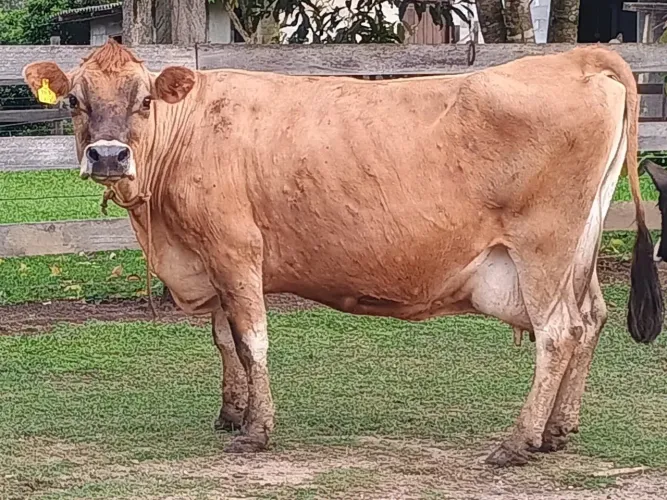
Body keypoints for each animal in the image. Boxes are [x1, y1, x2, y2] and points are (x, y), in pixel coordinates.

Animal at [23, 40, 663, 467]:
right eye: (74, 100)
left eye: (145, 101)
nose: (109, 156)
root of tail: (576, 58)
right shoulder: (210, 256)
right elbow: (224, 338)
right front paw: (231, 412)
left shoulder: (235, 247)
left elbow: (251, 340)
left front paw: (256, 429)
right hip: (579, 249)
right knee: (591, 318)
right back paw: (558, 430)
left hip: (542, 249)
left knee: (558, 332)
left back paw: (519, 441)